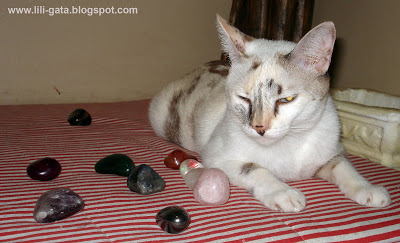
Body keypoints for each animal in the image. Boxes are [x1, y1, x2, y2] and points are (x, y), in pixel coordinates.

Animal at [148, 14, 390, 213]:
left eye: (286, 99)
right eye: (244, 99)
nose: (259, 128)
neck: (290, 143)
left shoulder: (330, 150)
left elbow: (344, 167)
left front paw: (368, 189)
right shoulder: (217, 156)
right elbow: (255, 169)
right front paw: (283, 193)